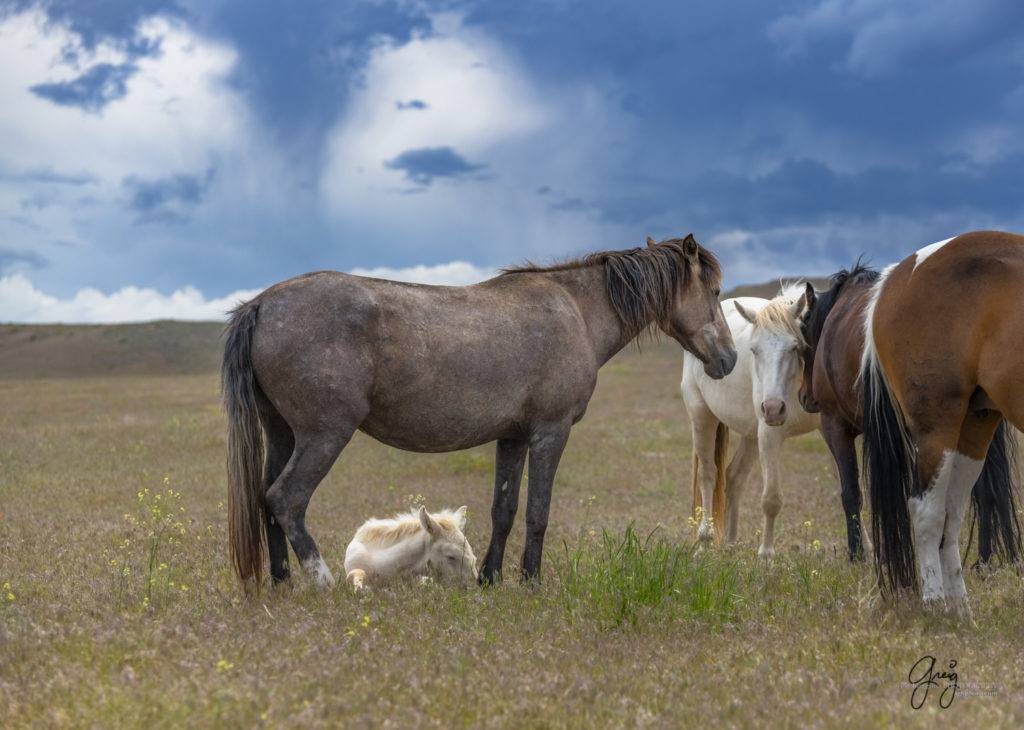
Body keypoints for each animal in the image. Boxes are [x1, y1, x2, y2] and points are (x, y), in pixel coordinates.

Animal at [864, 229, 1024, 614]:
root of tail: (901, 272)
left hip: (974, 427)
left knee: (951, 518)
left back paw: (960, 612)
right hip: (937, 425)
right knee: (927, 513)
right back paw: (936, 606)